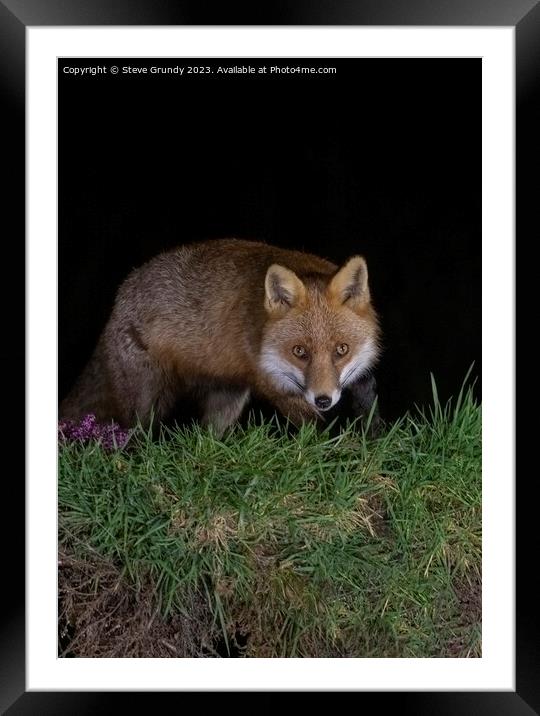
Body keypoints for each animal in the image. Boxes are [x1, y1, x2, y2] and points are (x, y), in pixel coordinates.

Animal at [61, 241, 380, 434]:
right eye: (299, 351)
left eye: (342, 349)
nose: (323, 399)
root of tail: (117, 303)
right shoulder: (269, 382)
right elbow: (315, 427)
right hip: (146, 402)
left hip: (227, 397)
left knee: (209, 434)